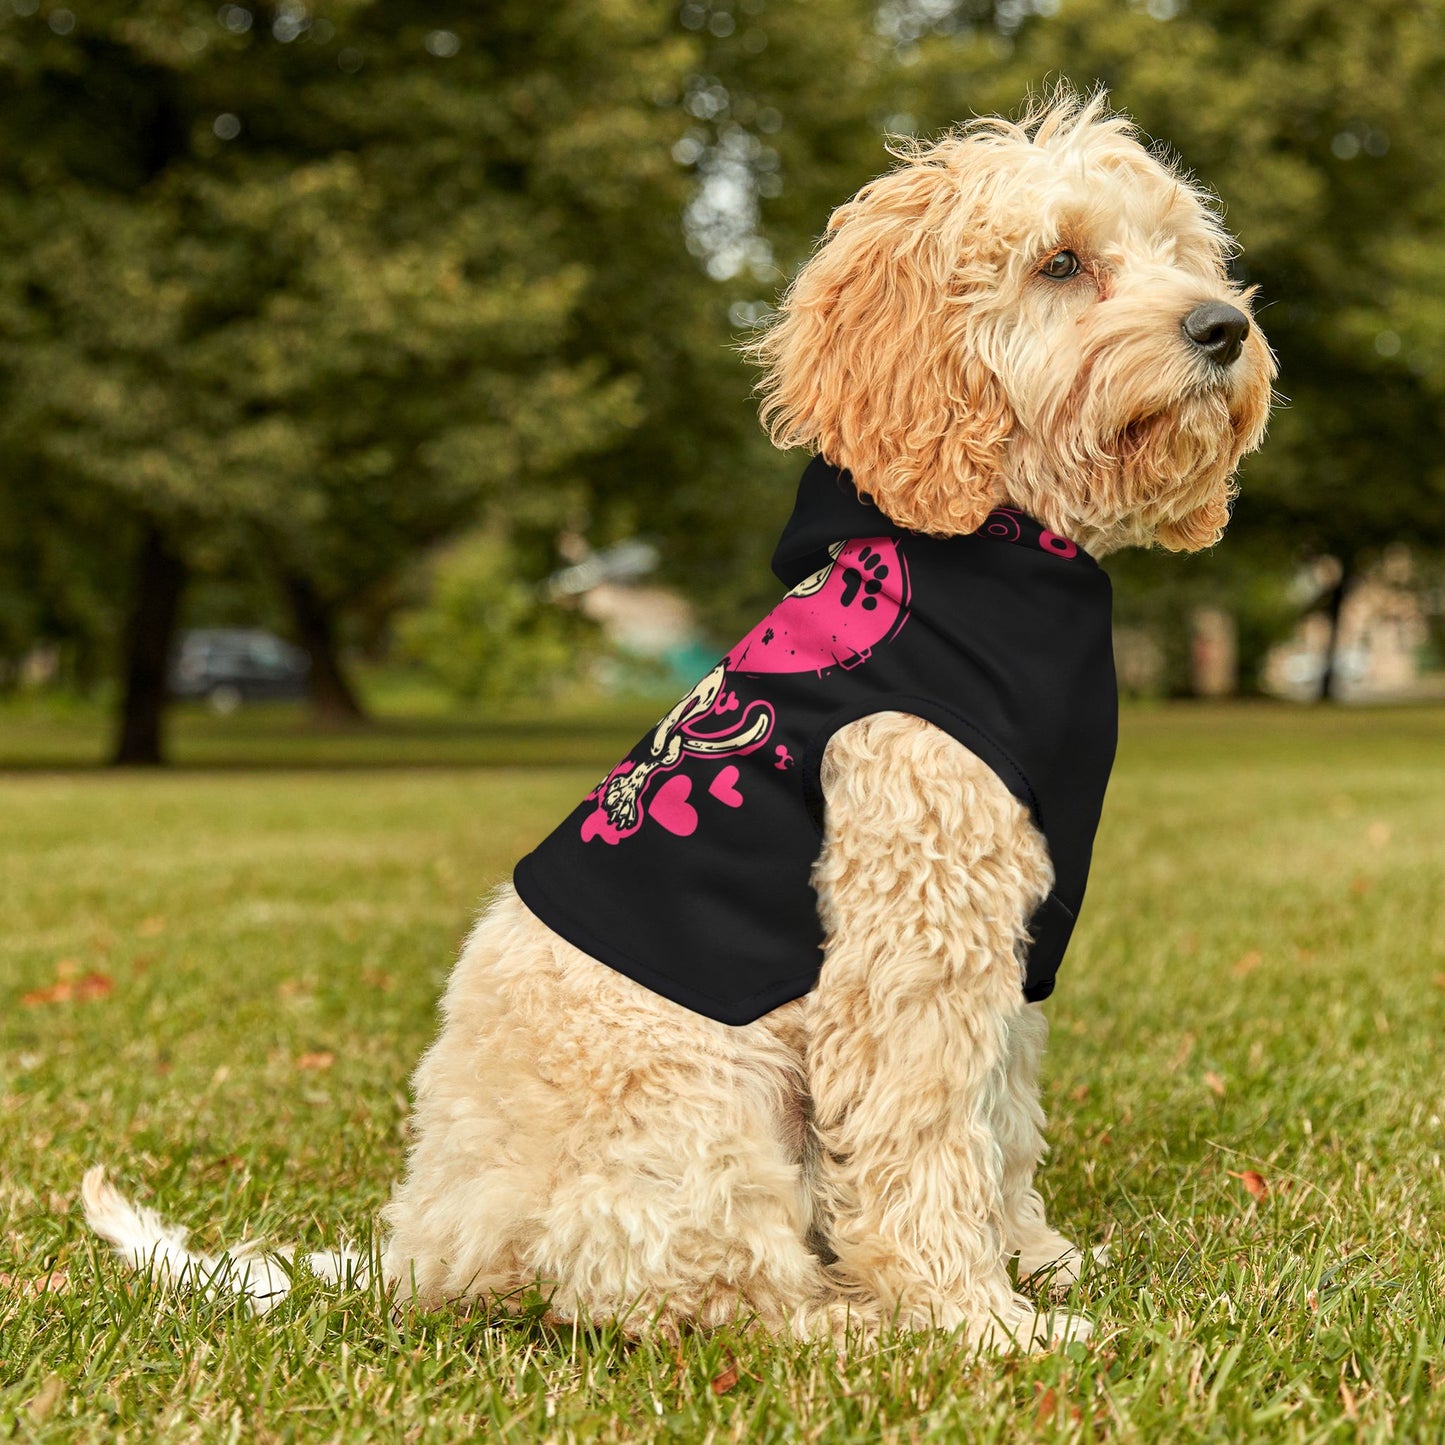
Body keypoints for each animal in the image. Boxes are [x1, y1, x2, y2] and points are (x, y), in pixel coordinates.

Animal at [84, 93, 1271, 1352]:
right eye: (1059, 262)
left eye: (1180, 252)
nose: (1222, 327)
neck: (993, 549)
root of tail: (424, 1247)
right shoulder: (912, 934)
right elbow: (924, 1136)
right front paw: (976, 1319)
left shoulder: (1010, 939)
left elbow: (999, 1118)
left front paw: (1035, 1259)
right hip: (705, 1102)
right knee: (703, 1292)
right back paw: (853, 1322)